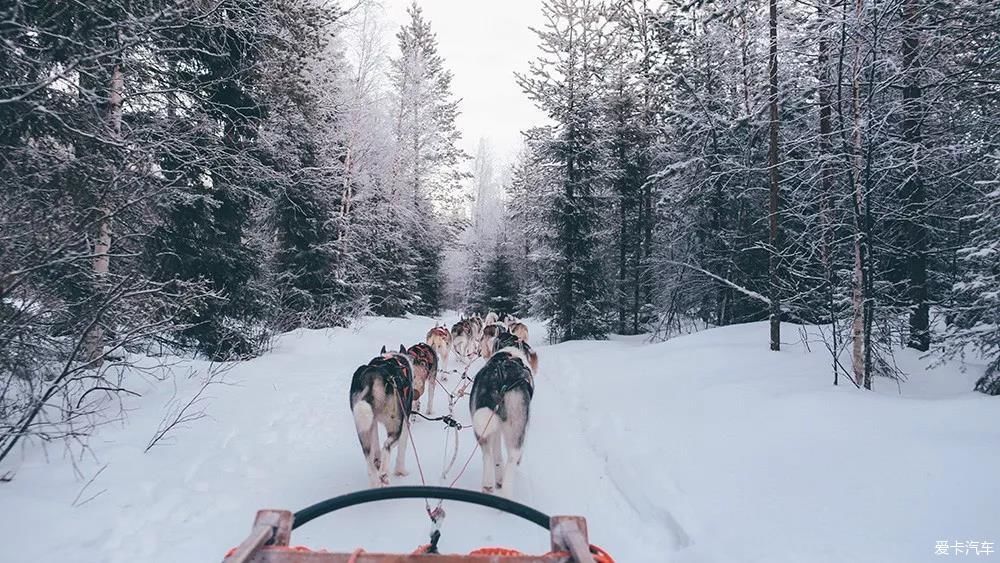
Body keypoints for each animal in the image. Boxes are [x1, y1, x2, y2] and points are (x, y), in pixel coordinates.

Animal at [352, 346, 414, 486]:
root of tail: (373, 376)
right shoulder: (405, 422)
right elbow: (401, 448)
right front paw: (401, 471)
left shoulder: (373, 422)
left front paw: (377, 460)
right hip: (395, 425)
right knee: (387, 446)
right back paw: (384, 472)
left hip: (363, 429)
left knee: (369, 457)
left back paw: (375, 479)